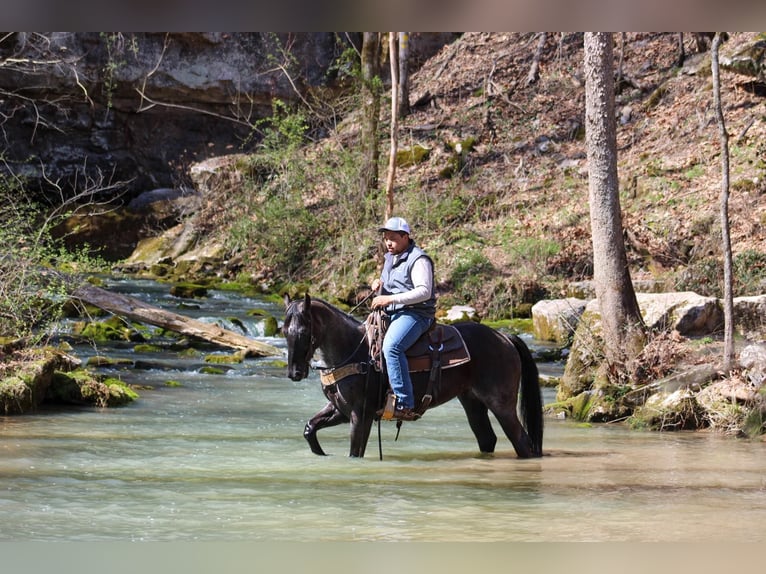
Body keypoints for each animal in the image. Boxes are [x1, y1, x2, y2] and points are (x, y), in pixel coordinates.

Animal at [284, 294, 544, 462]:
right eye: (285, 331)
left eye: (304, 331)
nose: (294, 373)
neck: (351, 350)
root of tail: (504, 337)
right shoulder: (341, 409)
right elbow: (310, 428)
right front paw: (320, 454)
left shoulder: (361, 415)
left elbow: (355, 452)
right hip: (472, 402)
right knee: (487, 438)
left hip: (501, 404)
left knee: (521, 441)